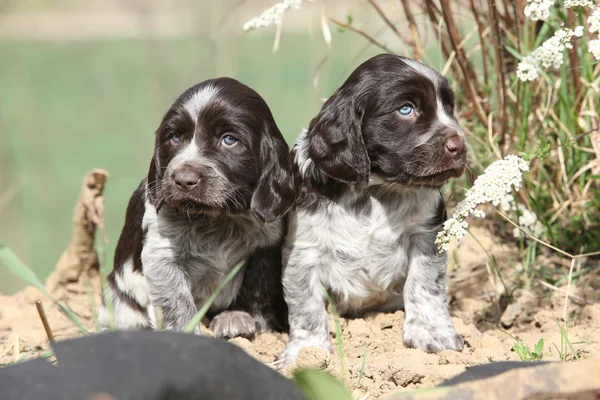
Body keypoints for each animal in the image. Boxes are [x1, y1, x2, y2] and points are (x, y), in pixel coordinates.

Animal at [99, 78, 296, 338]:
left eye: (229, 140)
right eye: (173, 138)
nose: (183, 180)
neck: (219, 218)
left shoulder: (266, 246)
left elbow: (257, 287)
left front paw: (243, 318)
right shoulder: (163, 256)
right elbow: (177, 304)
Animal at [278, 54, 468, 368]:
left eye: (449, 107)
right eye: (406, 109)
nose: (460, 146)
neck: (376, 191)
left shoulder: (427, 234)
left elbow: (425, 285)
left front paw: (433, 334)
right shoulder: (303, 251)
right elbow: (306, 306)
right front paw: (306, 353)